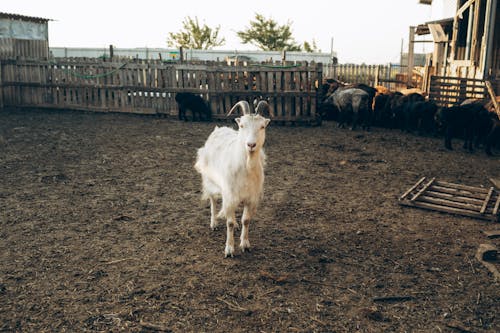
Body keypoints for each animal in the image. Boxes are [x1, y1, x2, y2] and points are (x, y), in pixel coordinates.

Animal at [195, 100, 272, 255]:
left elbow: (246, 220)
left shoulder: (250, 197)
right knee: (212, 201)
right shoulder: (229, 195)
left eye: (262, 126)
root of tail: (218, 129)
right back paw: (213, 223)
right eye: (242, 125)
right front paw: (229, 249)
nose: (251, 144)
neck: (246, 166)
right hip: (209, 180)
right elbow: (228, 223)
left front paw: (245, 244)